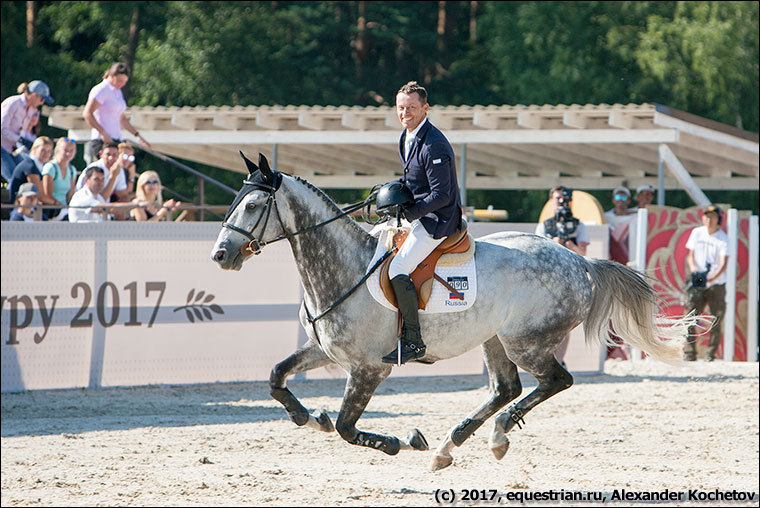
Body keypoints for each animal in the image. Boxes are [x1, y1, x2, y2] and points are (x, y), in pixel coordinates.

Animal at [209, 152, 696, 472]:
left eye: (254, 205)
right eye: (236, 201)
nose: (220, 255)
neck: (343, 266)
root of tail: (580, 261)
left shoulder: (368, 368)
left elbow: (349, 428)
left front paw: (402, 441)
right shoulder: (324, 351)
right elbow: (277, 378)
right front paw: (310, 418)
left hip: (525, 341)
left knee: (554, 381)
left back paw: (494, 435)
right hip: (494, 339)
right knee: (506, 387)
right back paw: (451, 444)